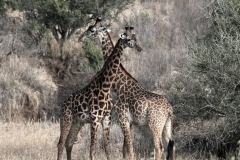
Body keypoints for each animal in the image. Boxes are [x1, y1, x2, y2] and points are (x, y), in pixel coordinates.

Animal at [57, 26, 142, 160]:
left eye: (135, 36)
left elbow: (107, 148)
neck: (105, 87)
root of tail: (63, 104)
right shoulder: (95, 118)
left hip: (77, 122)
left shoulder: (106, 118)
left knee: (69, 142)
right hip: (66, 119)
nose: (139, 47)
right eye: (128, 39)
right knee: (61, 143)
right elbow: (92, 149)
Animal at [79, 17, 175, 160]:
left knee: (159, 147)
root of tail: (169, 109)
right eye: (132, 38)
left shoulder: (123, 118)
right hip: (167, 125)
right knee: (172, 145)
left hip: (154, 124)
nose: (81, 37)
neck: (119, 85)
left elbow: (129, 147)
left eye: (92, 30)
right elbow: (124, 148)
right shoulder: (128, 122)